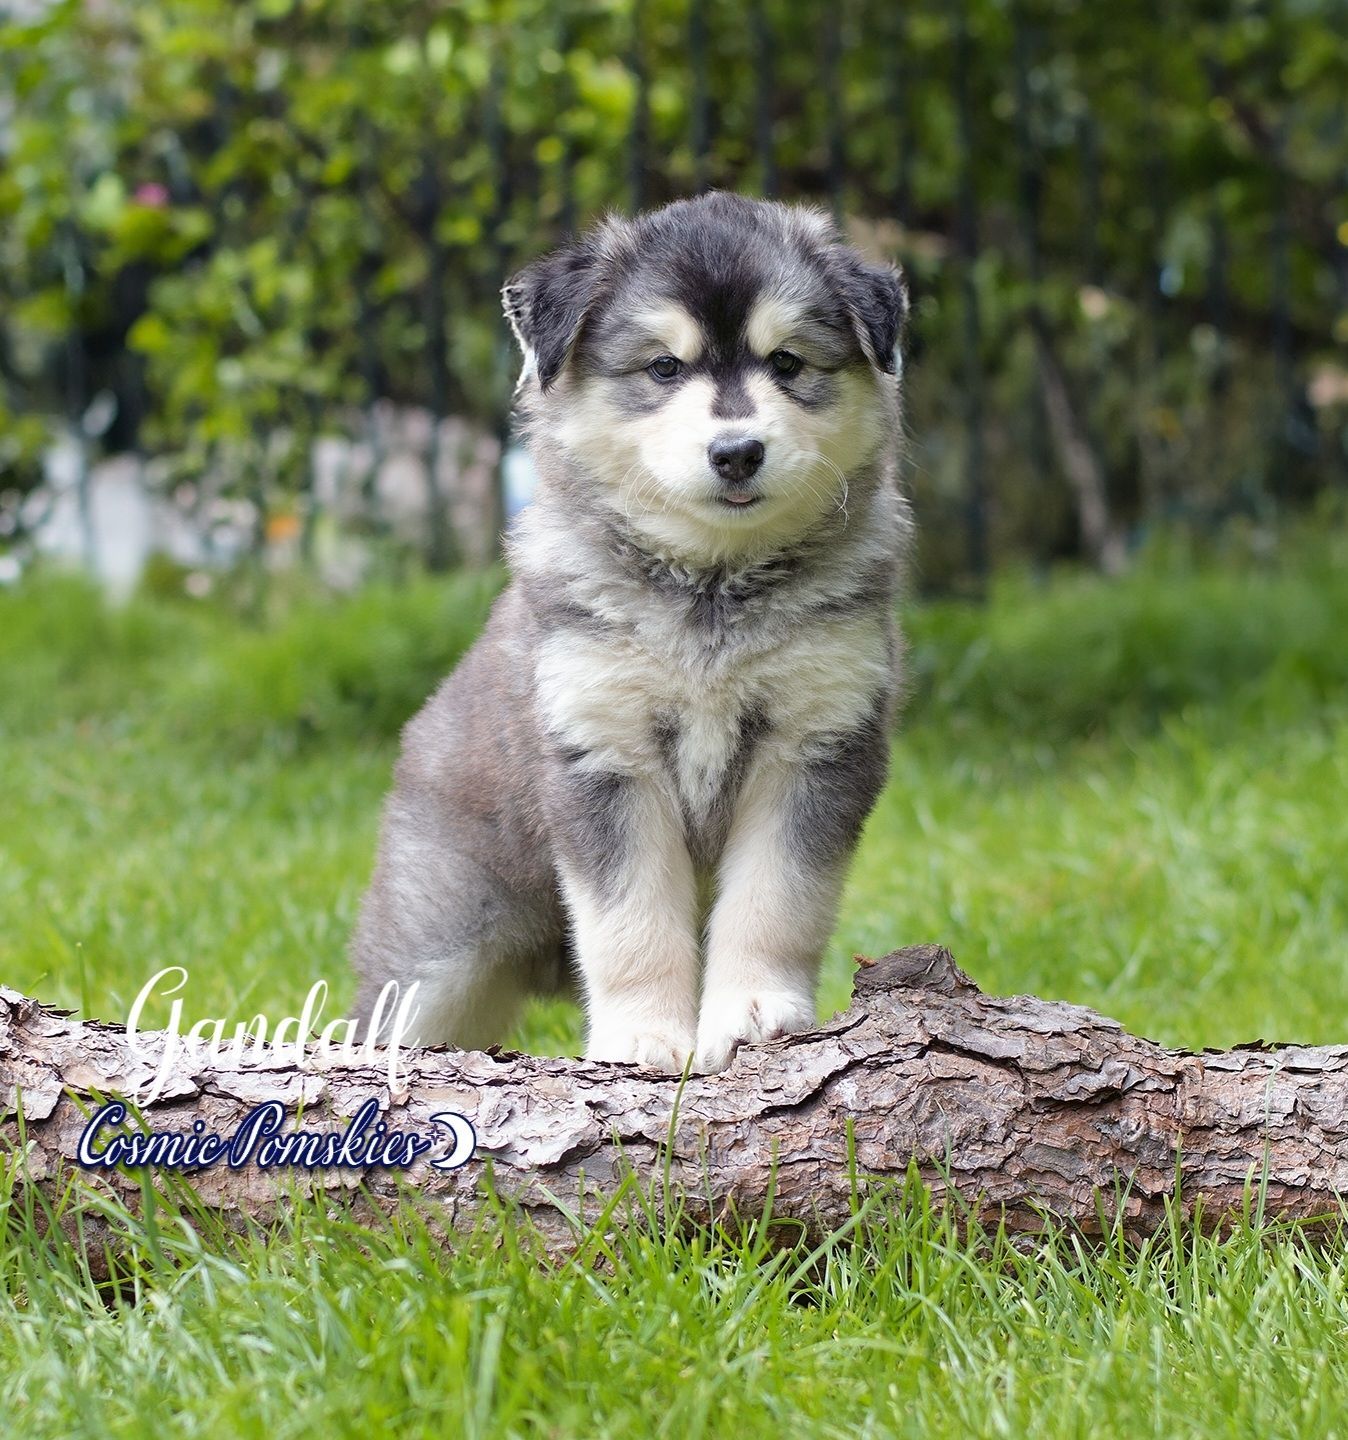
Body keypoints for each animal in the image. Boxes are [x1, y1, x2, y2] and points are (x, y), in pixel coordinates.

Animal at [351, 192, 909, 1072]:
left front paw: (754, 1012)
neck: (714, 585)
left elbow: (777, 901)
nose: (738, 452)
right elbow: (630, 923)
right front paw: (645, 1036)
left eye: (787, 363)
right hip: (437, 943)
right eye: (664, 369)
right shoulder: (604, 753)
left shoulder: (817, 742)